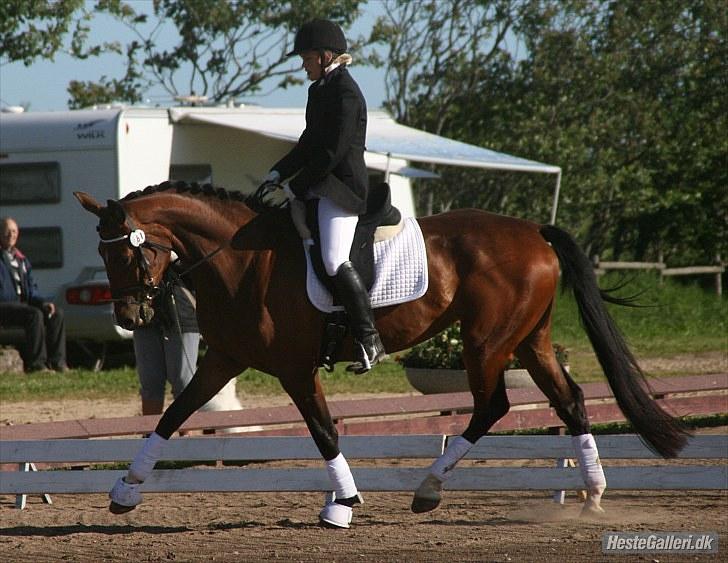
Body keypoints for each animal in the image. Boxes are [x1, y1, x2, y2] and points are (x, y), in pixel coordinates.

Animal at [77, 184, 684, 528]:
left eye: (126, 254)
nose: (131, 316)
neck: (240, 262)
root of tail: (534, 231)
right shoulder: (222, 360)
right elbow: (172, 416)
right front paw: (124, 491)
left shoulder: (294, 369)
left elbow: (324, 431)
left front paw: (341, 504)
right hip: (528, 341)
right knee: (571, 400)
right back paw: (592, 496)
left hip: (487, 342)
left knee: (493, 407)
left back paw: (428, 489)